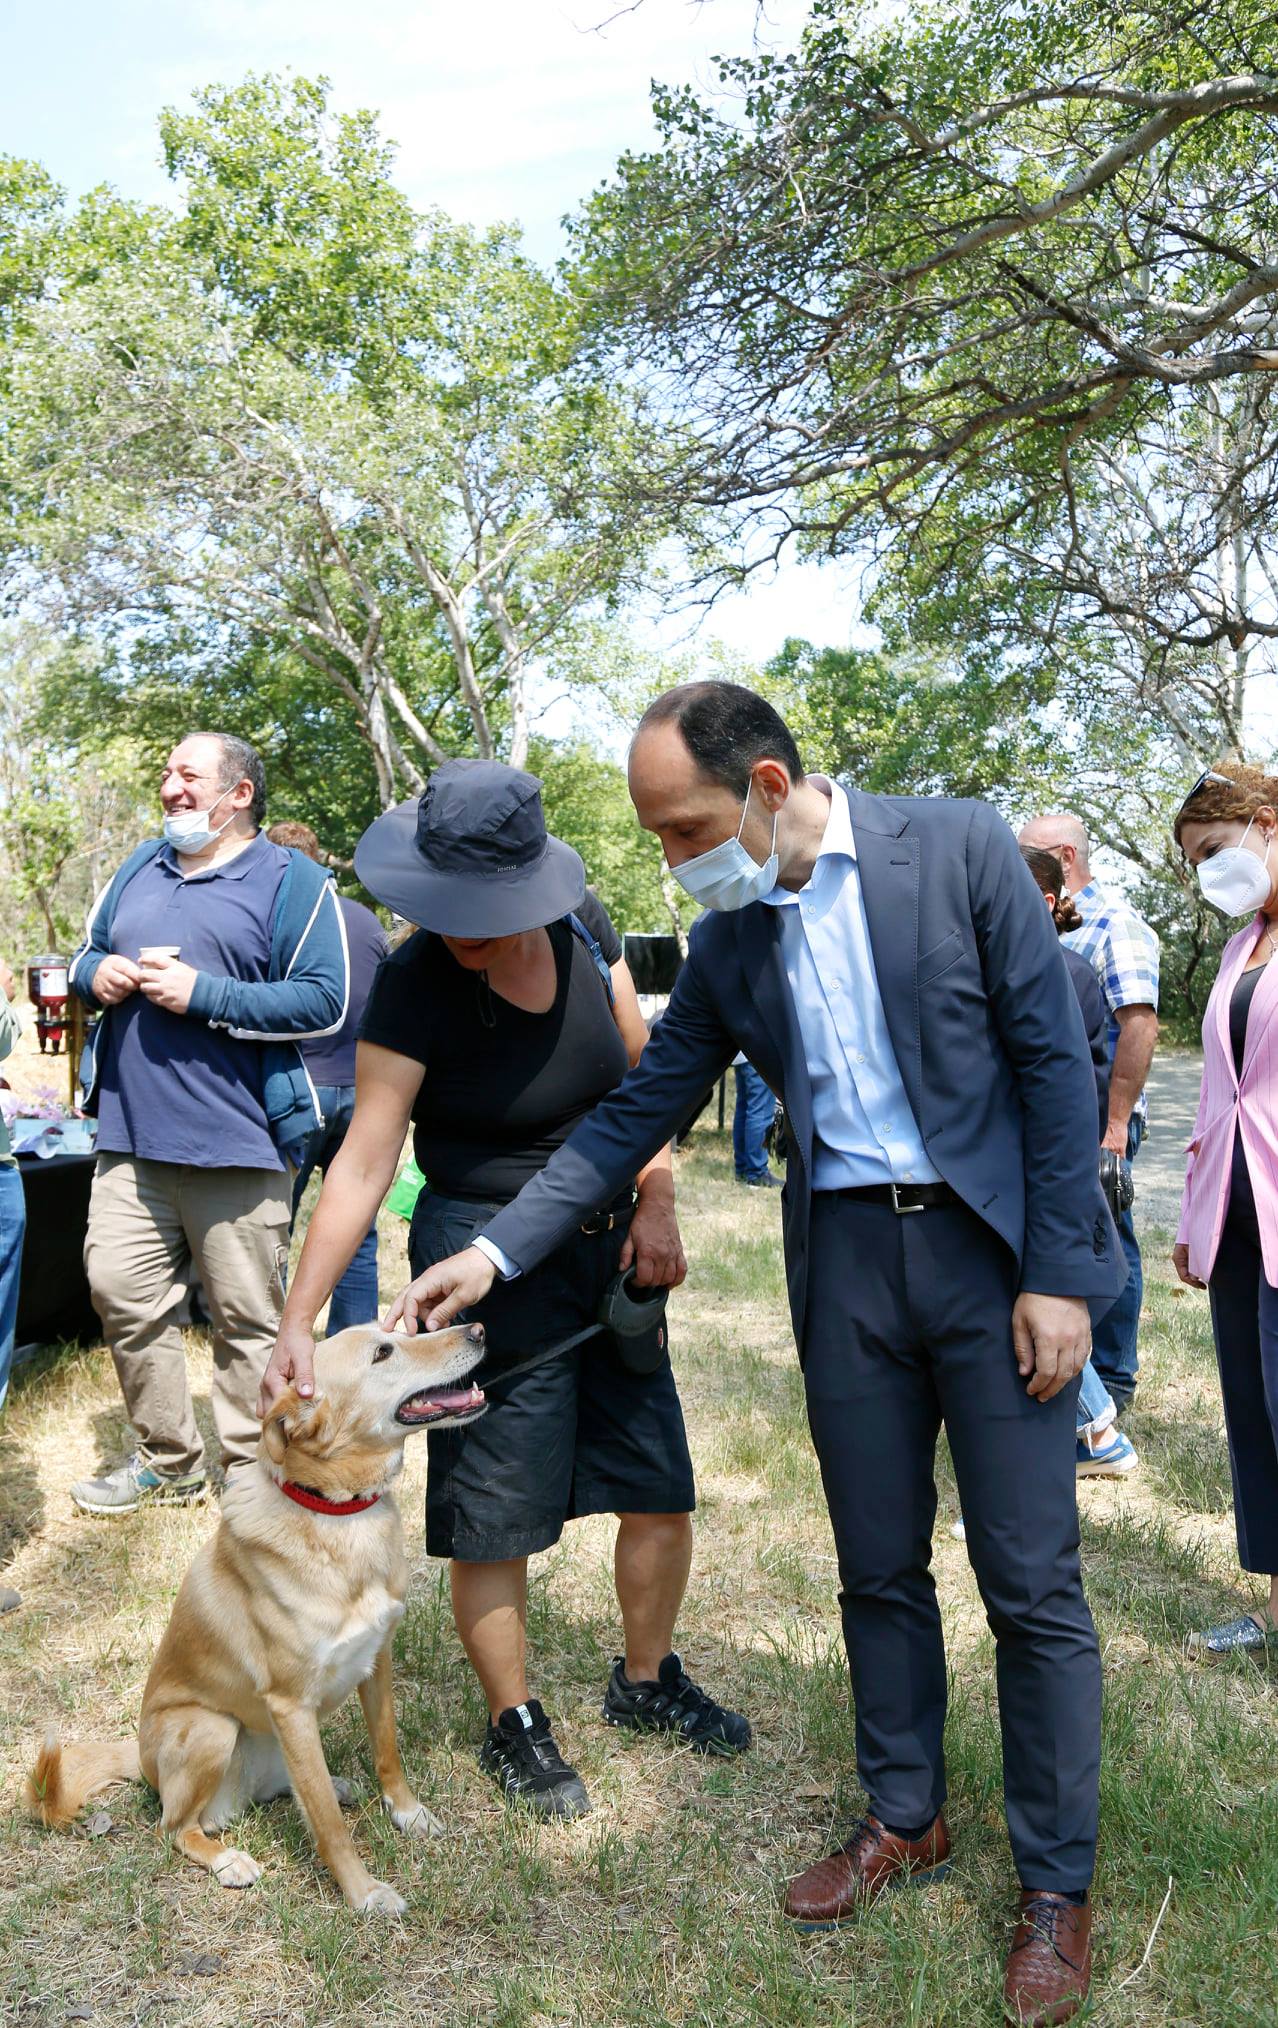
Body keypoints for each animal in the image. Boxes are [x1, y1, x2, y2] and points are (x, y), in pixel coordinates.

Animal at [25, 1320, 487, 1916]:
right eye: (383, 1352)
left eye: (398, 1330)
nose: (478, 1327)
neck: (336, 1514)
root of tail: (142, 1760)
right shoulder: (291, 1705)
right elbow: (330, 1826)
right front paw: (362, 1893)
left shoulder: (376, 1661)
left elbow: (387, 1752)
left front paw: (406, 1812)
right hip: (211, 1728)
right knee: (175, 1828)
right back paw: (227, 1859)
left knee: (295, 1788)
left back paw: (332, 1784)